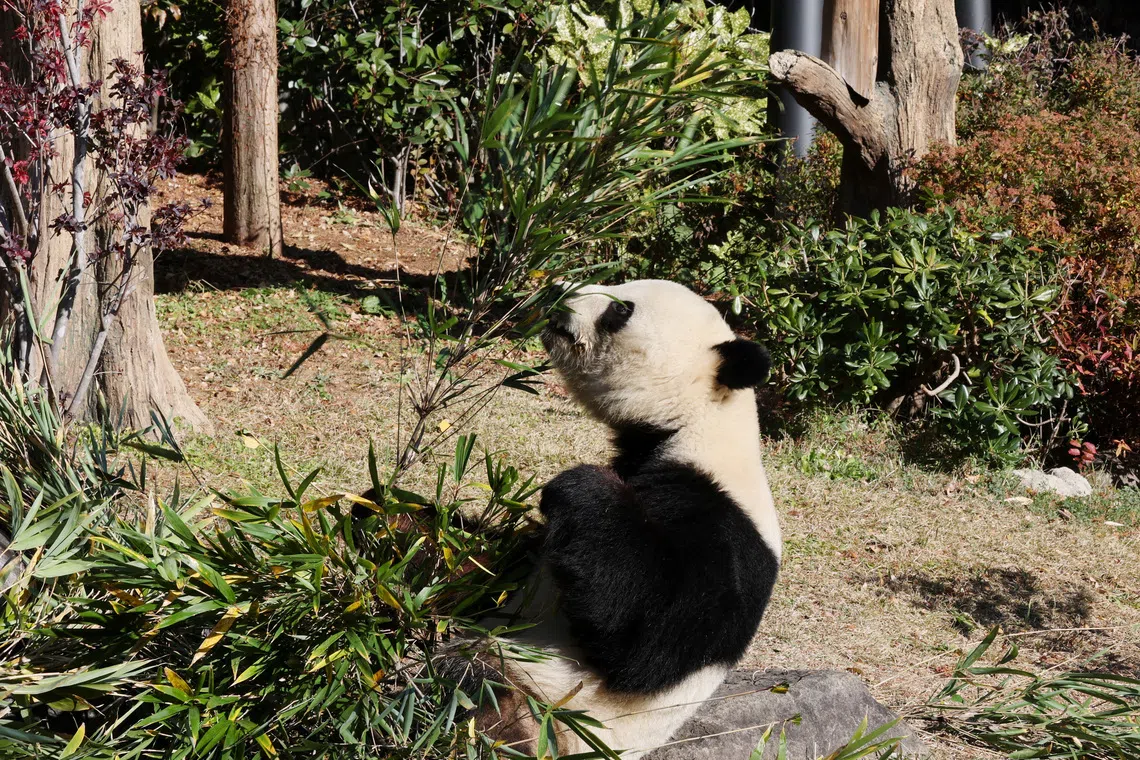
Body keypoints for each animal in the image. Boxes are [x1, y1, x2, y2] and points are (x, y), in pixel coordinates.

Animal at [466, 279, 782, 759]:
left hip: (547, 712)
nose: (557, 289)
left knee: (473, 691)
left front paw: (583, 486)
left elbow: (650, 642)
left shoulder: (722, 525)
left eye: (620, 309)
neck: (695, 424)